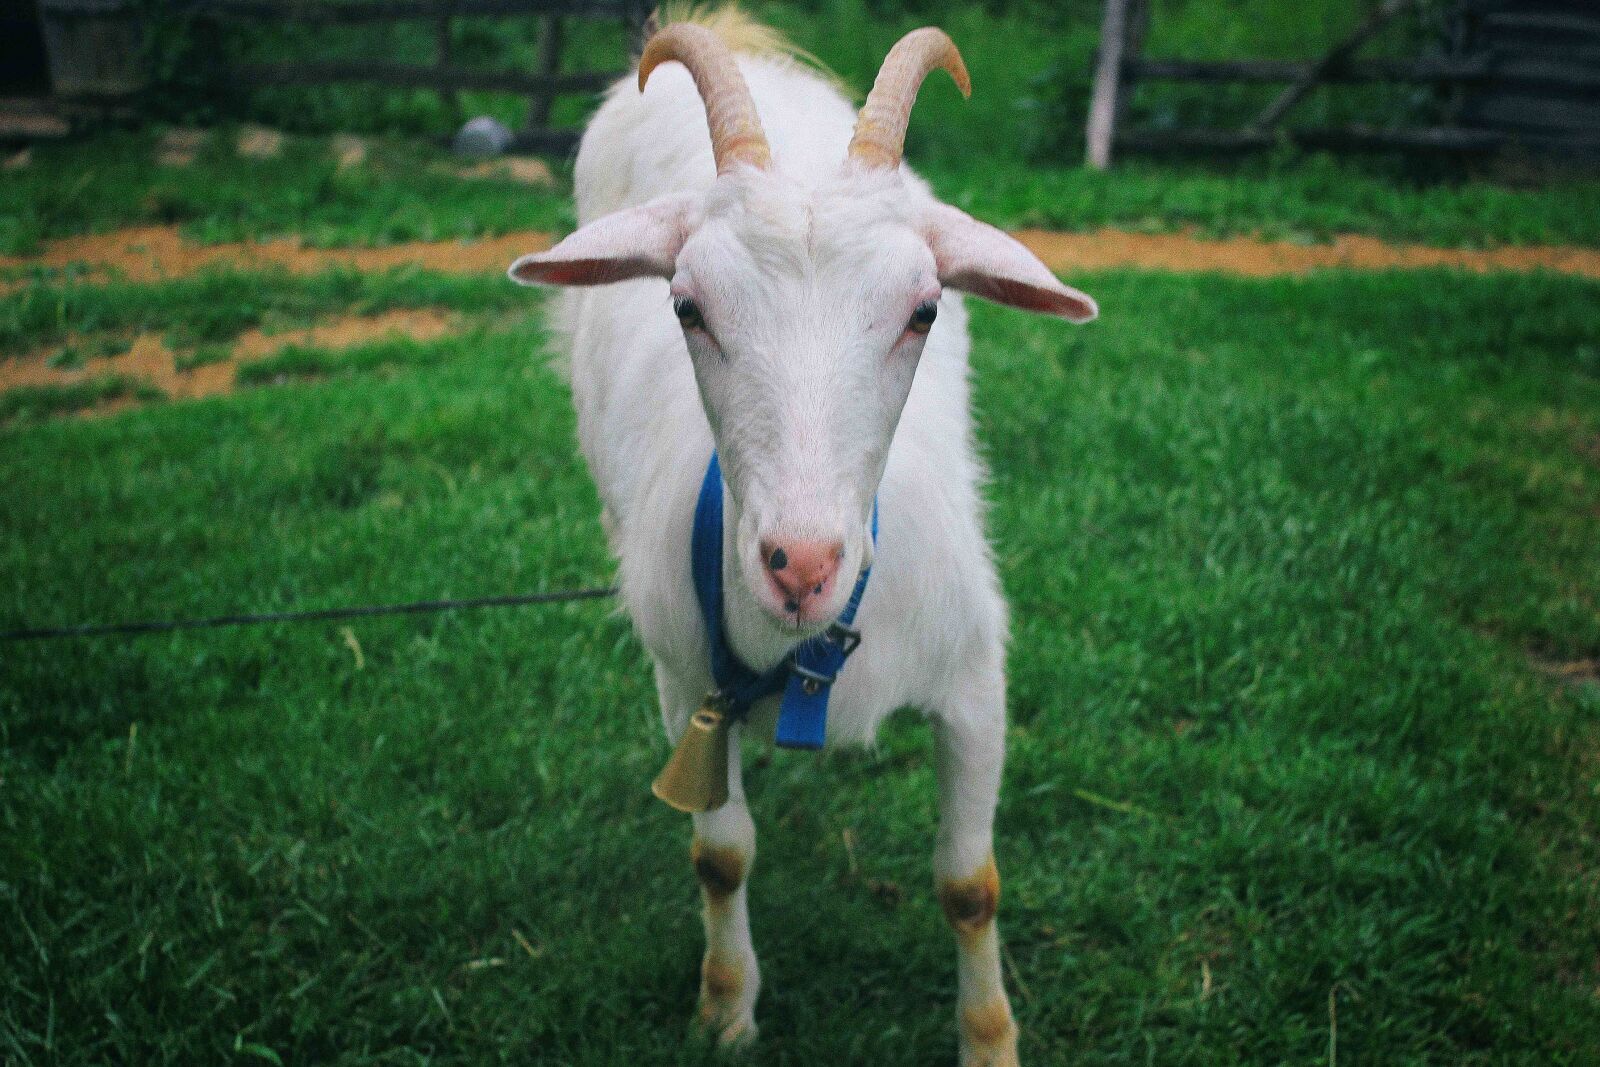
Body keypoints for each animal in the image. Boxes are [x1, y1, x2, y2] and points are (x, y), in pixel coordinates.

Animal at [509, 9, 1096, 1064]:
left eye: (924, 309)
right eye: (686, 305)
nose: (802, 565)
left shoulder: (974, 681)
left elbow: (969, 883)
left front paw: (990, 1038)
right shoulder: (684, 684)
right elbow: (721, 854)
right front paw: (725, 1006)